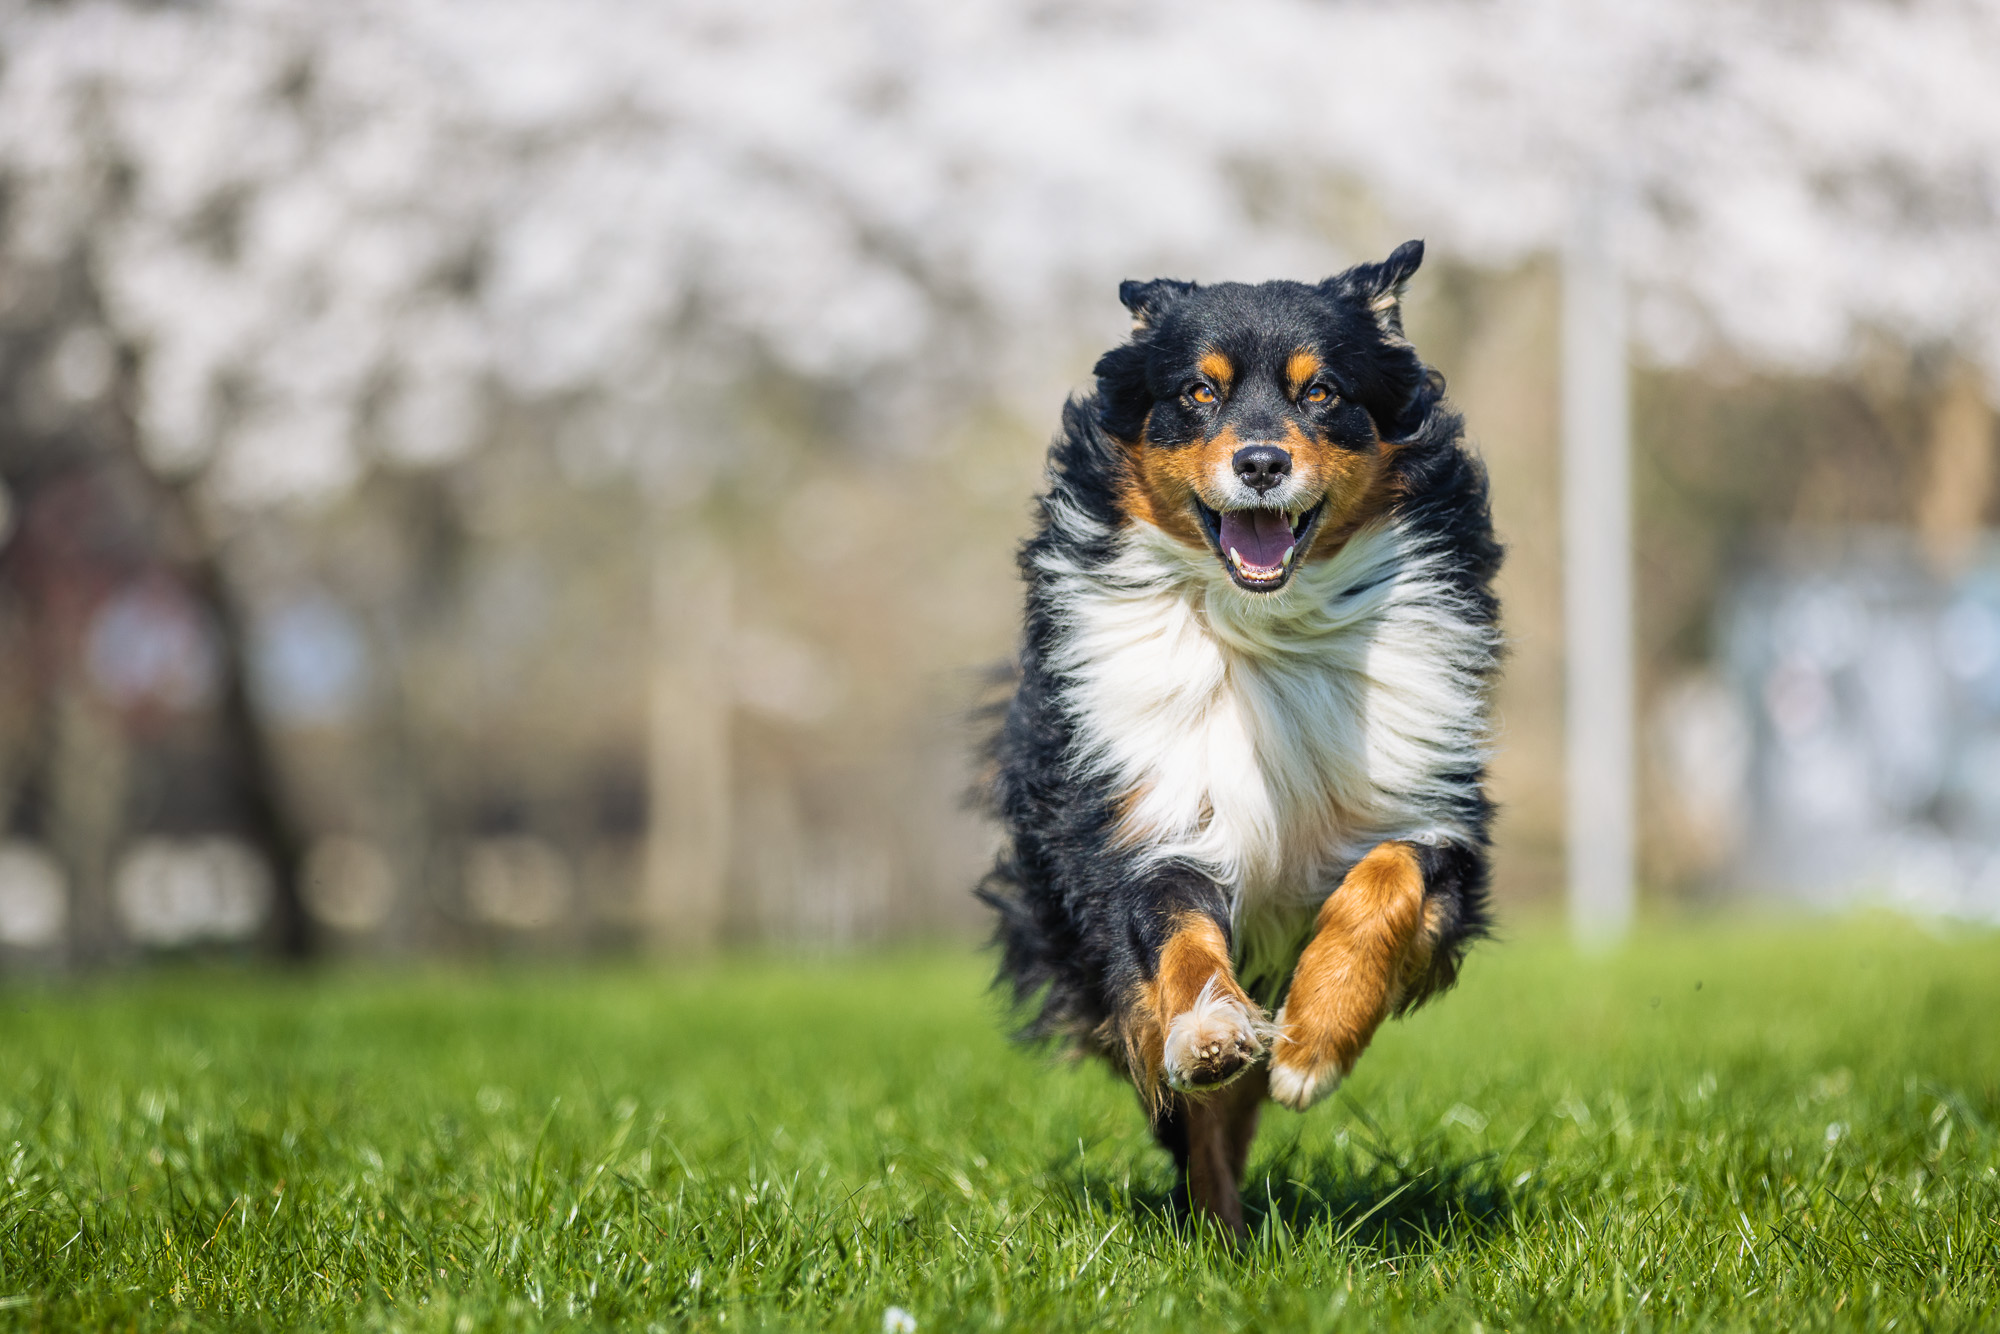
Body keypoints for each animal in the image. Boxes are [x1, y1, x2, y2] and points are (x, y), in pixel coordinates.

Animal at [976, 240, 1496, 1240]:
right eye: (1198, 391)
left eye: (1322, 391)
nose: (1260, 463)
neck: (1267, 630)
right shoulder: (1150, 825)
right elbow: (1181, 944)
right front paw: (1213, 1031)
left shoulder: (1434, 817)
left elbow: (1383, 885)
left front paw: (1314, 1042)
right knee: (1199, 1129)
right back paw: (1219, 1238)